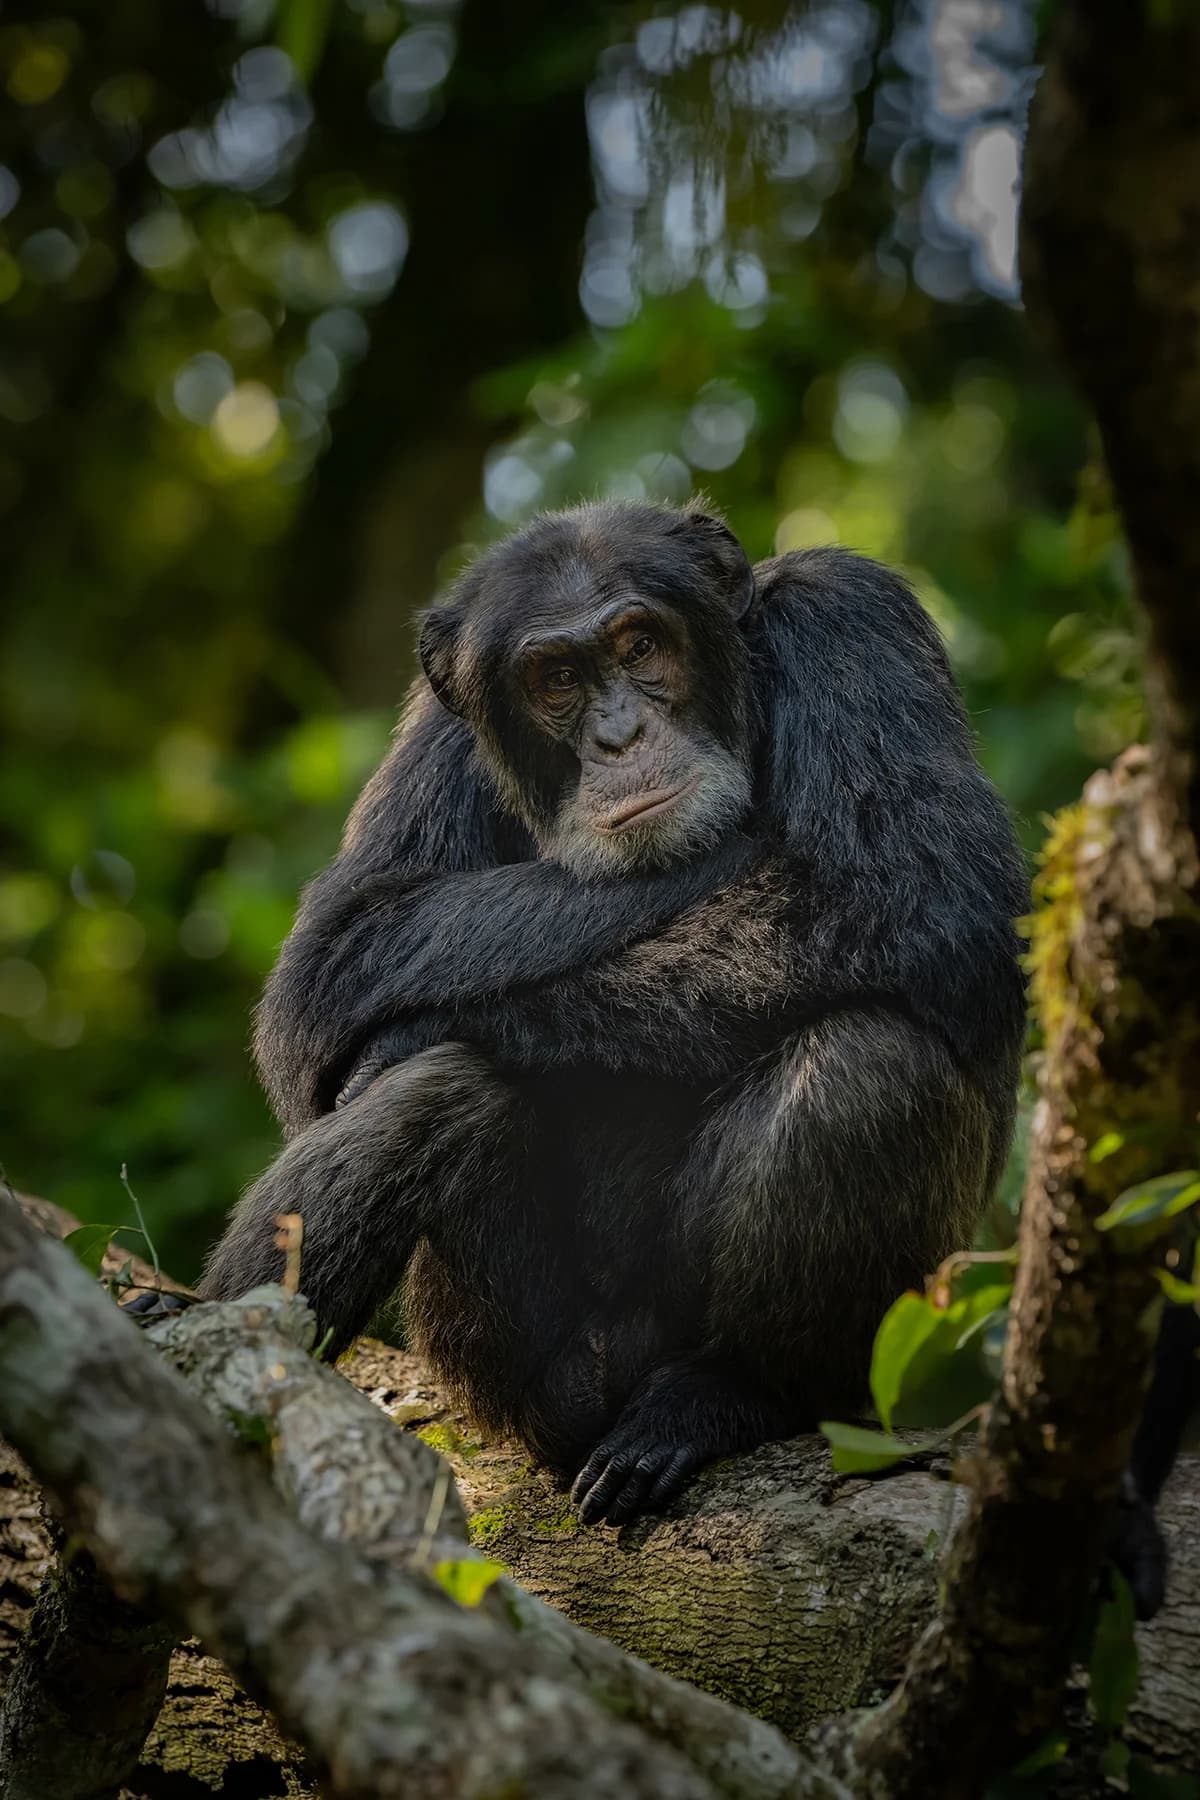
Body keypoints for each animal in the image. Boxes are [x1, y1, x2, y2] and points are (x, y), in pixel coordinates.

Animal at [198, 500, 1029, 1525]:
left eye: (640, 645)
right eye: (557, 679)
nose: (620, 734)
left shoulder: (853, 616)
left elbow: (922, 879)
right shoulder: (436, 737)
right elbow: (337, 949)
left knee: (868, 1062)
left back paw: (722, 1396)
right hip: (515, 1382)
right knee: (437, 1095)